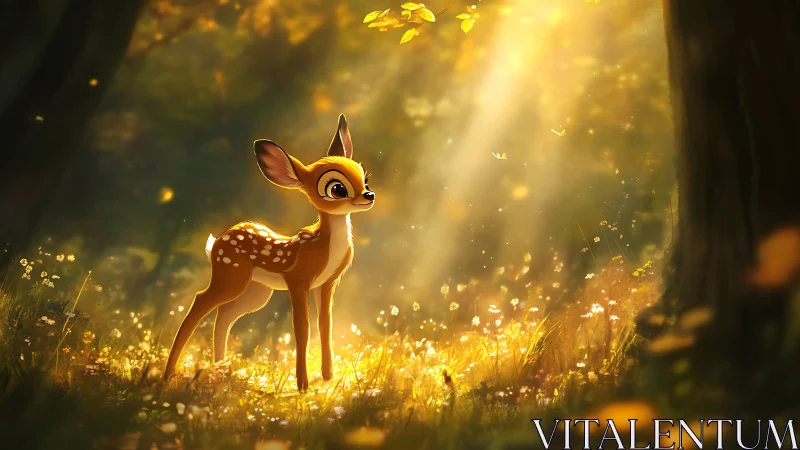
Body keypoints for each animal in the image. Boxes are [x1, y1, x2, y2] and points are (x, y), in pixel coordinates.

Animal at [163, 114, 374, 391]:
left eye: (365, 179)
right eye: (337, 189)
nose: (369, 195)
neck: (324, 245)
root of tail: (216, 242)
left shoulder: (327, 283)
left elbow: (325, 325)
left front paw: (328, 377)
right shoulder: (297, 279)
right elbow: (302, 328)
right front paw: (303, 386)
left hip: (256, 290)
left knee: (225, 315)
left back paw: (222, 371)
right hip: (230, 276)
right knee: (200, 301)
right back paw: (169, 374)